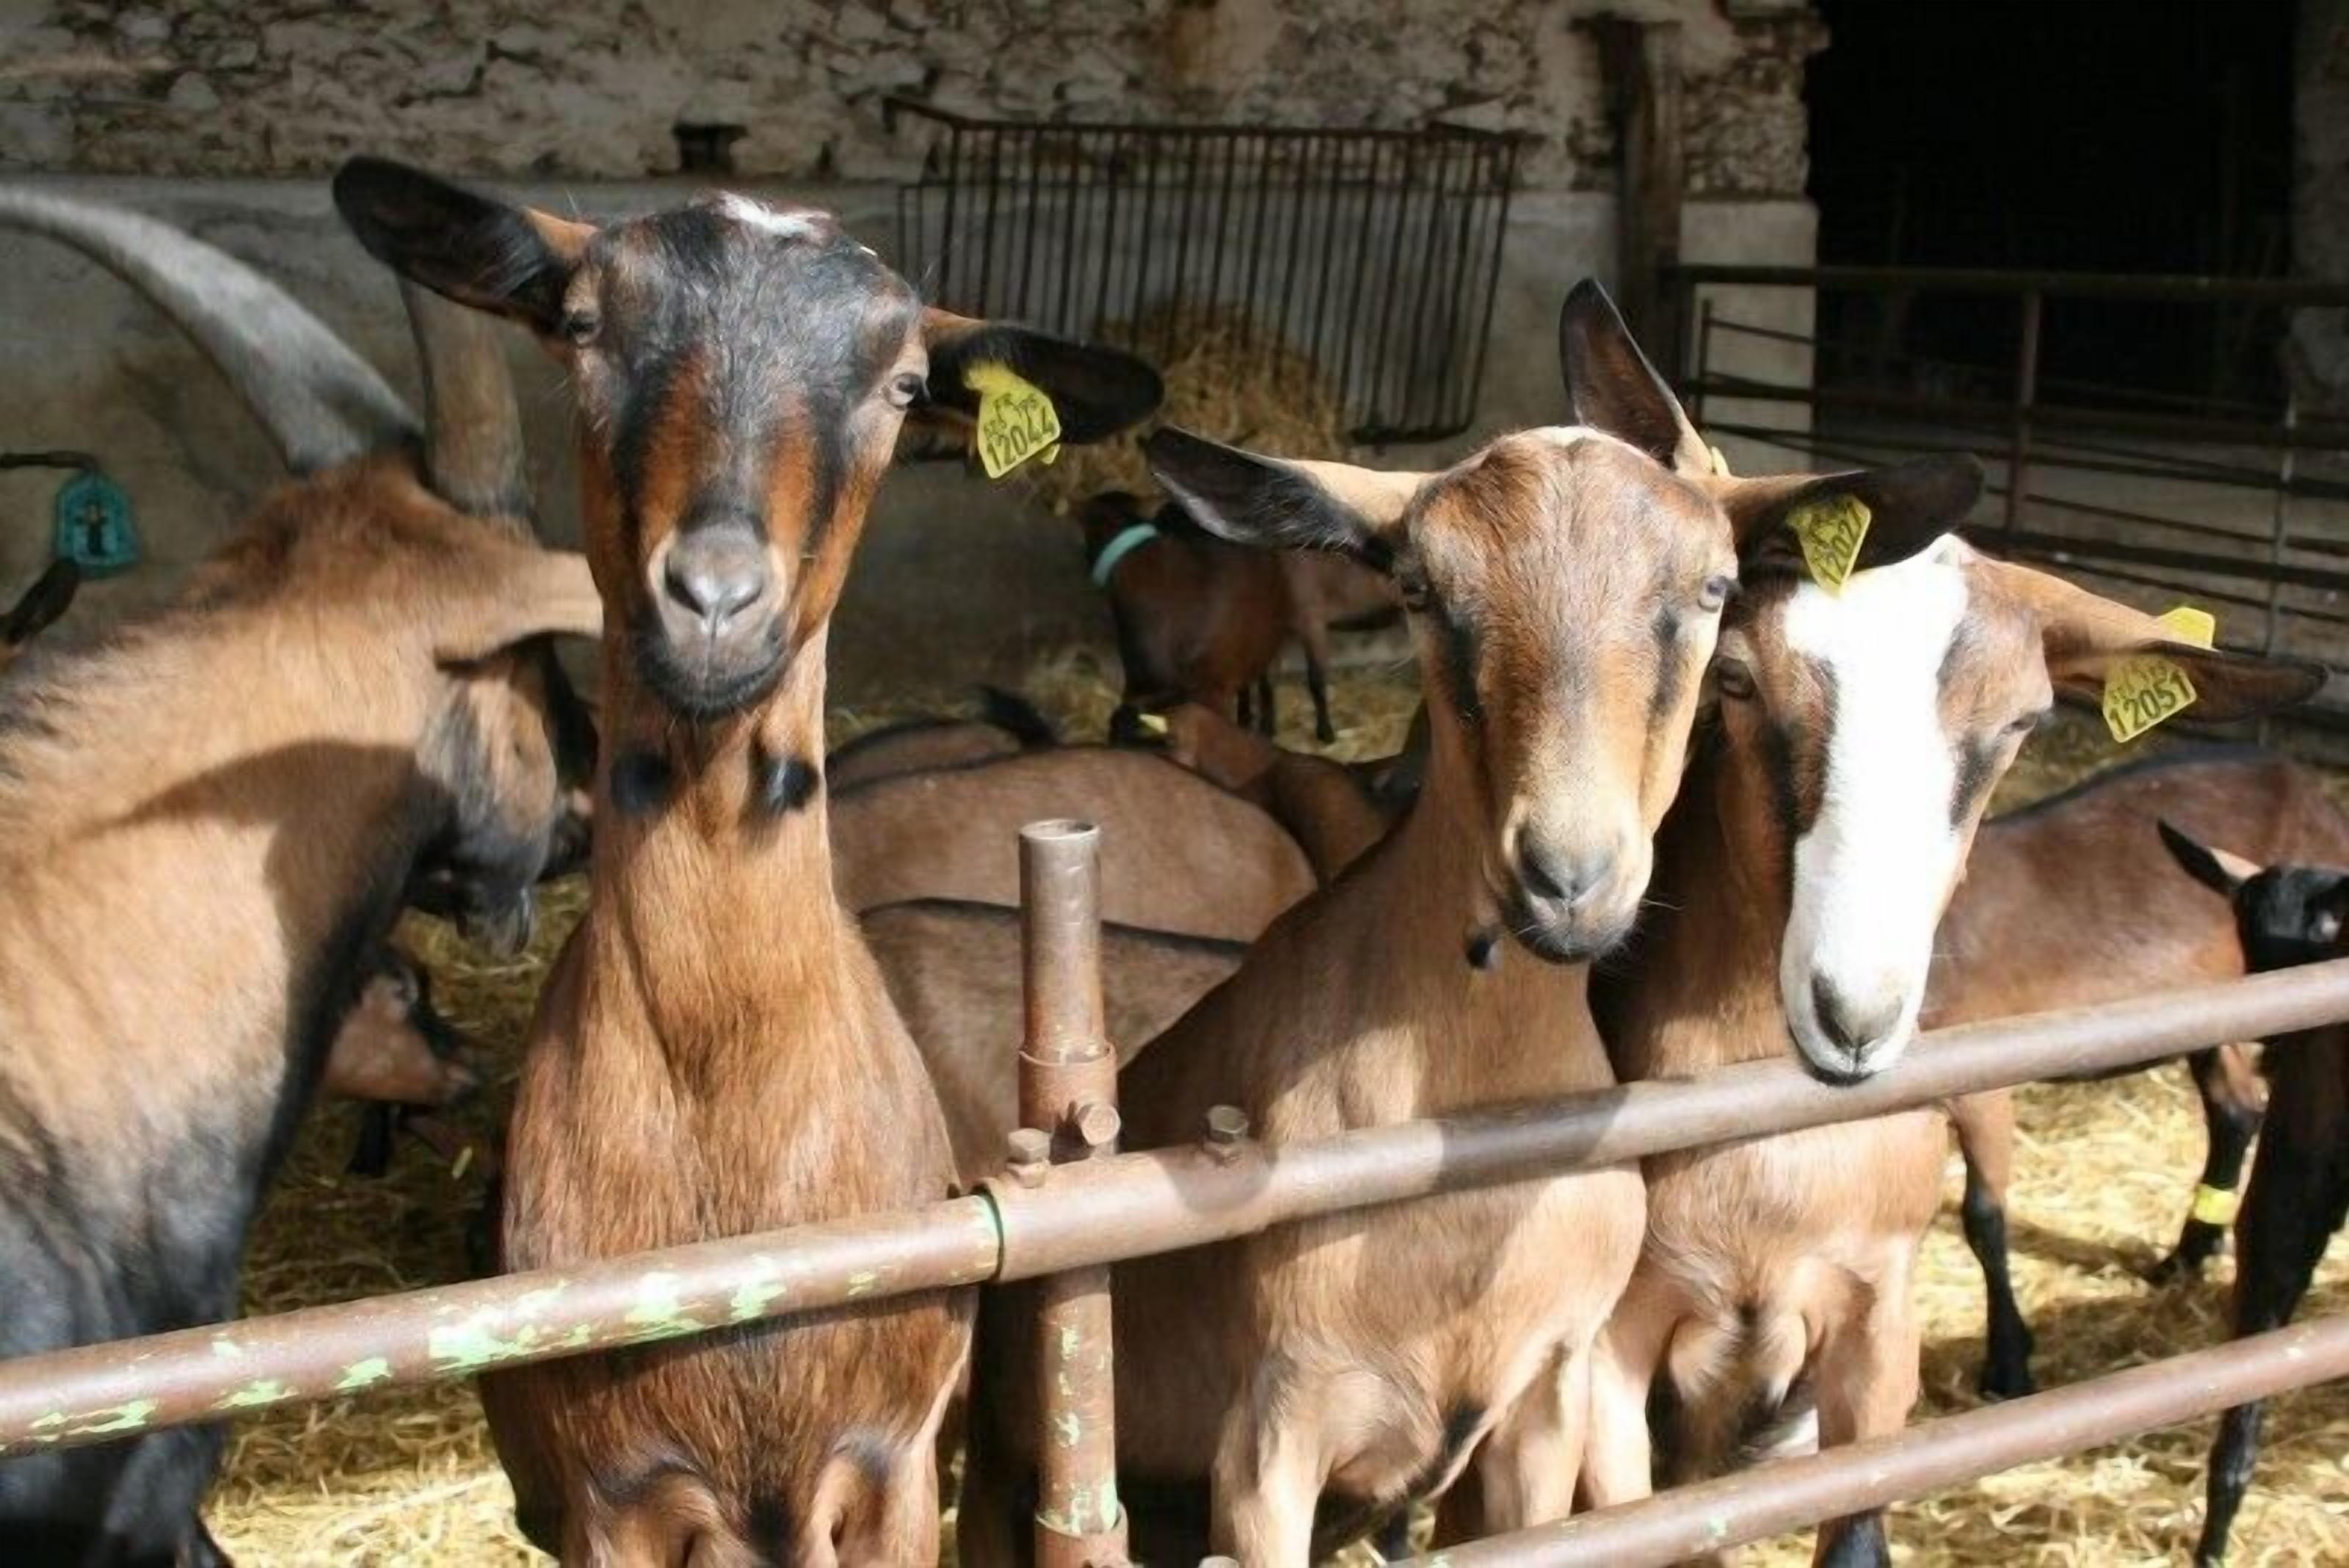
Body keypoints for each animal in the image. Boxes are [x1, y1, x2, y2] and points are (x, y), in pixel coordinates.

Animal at [958, 281, 1979, 1565]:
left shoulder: (1543, 1398)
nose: (1566, 878)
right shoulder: (1273, 1435)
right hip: (1007, 1471)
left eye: (1709, 591)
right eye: (1420, 591)